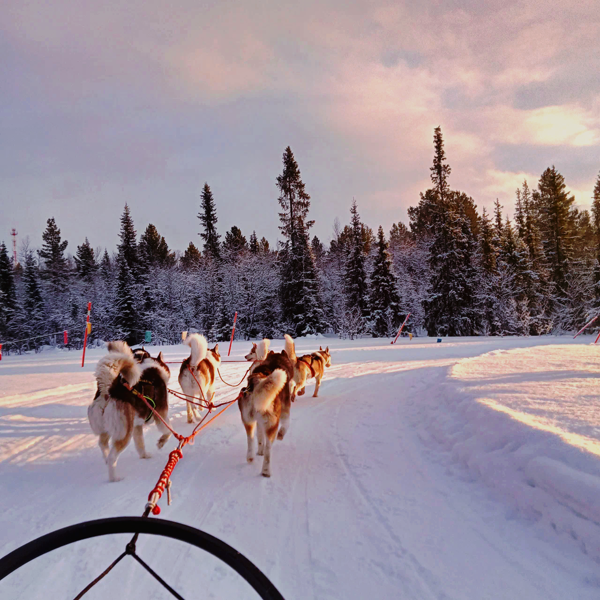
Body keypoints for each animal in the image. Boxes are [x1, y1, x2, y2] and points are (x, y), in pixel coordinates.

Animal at [86, 342, 172, 482]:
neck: (153, 369)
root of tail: (110, 390)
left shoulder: (137, 426)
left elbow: (140, 444)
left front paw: (144, 455)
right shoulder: (161, 415)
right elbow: (168, 431)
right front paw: (161, 442)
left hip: (108, 429)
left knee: (102, 444)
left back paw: (106, 459)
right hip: (124, 433)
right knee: (113, 456)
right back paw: (114, 477)